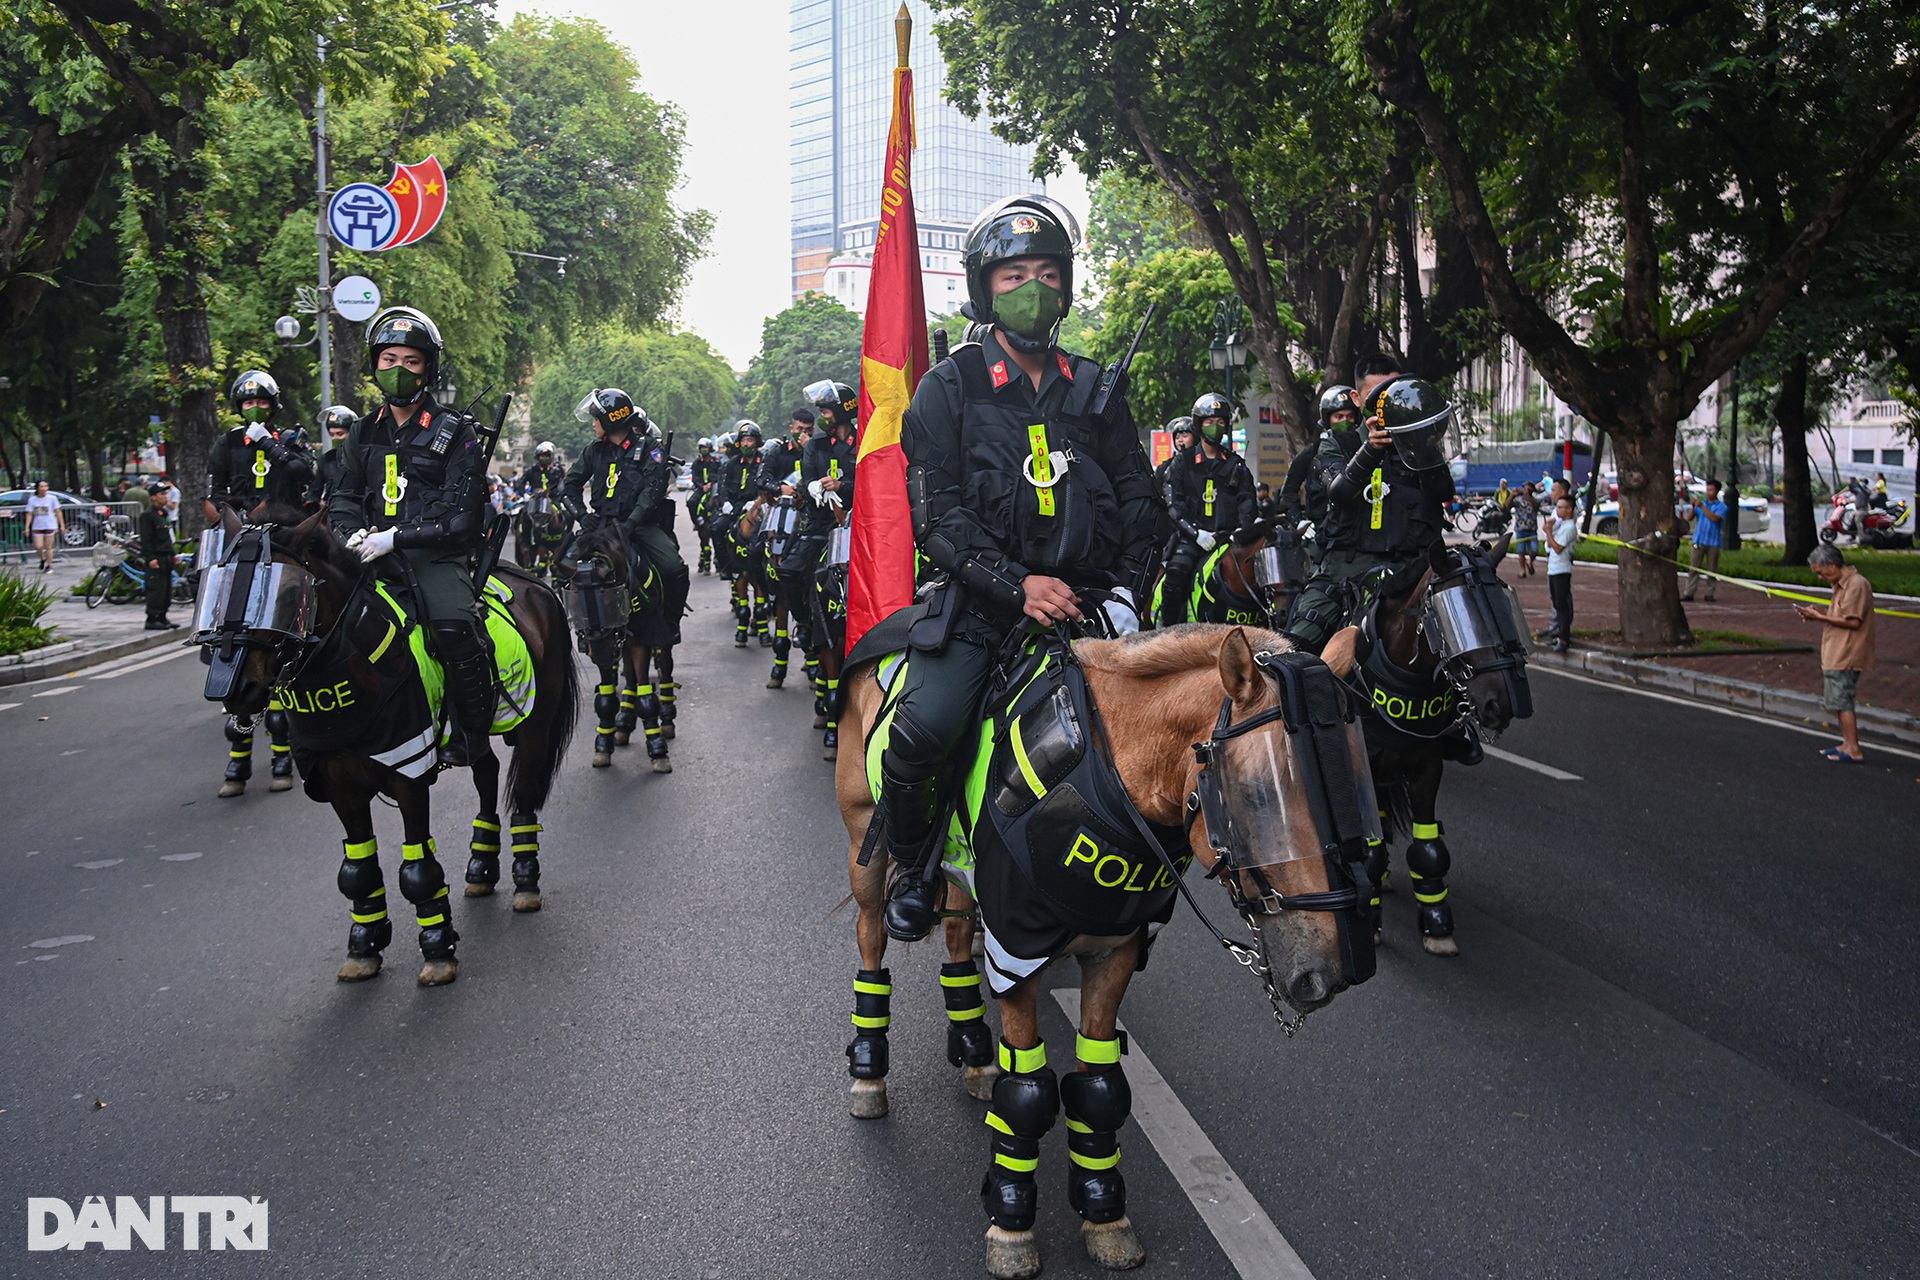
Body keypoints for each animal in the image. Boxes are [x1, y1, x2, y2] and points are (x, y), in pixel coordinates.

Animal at [200, 506, 583, 990]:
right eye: (216, 587)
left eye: (287, 594)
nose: (237, 689)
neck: (354, 662)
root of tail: (536, 583)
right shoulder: (340, 788)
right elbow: (358, 871)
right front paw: (364, 945)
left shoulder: (409, 777)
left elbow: (417, 871)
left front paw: (438, 949)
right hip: (476, 732)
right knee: (486, 771)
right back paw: (481, 866)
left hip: (538, 719)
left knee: (527, 788)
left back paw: (525, 878)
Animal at [560, 518, 683, 771]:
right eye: (574, 602)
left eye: (609, 600)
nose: (602, 651)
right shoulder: (605, 647)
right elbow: (606, 697)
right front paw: (603, 743)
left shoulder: (642, 640)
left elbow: (646, 696)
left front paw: (657, 749)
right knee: (630, 678)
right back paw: (625, 721)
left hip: (662, 636)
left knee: (665, 667)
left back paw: (665, 719)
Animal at [840, 621, 1382, 1280]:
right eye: (1260, 797)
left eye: (1360, 785)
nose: (1329, 971)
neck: (1112, 779)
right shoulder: (1017, 954)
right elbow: (1030, 1094)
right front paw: (1012, 1222)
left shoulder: (1114, 953)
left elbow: (1099, 1088)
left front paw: (1105, 1215)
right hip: (867, 855)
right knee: (873, 941)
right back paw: (870, 1070)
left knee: (956, 937)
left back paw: (973, 1053)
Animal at [1344, 537, 1536, 955]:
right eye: (1458, 619)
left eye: (1508, 611)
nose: (1502, 705)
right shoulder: (1364, 765)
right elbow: (1371, 847)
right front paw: (1371, 918)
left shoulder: (1426, 767)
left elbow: (1428, 848)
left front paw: (1436, 923)